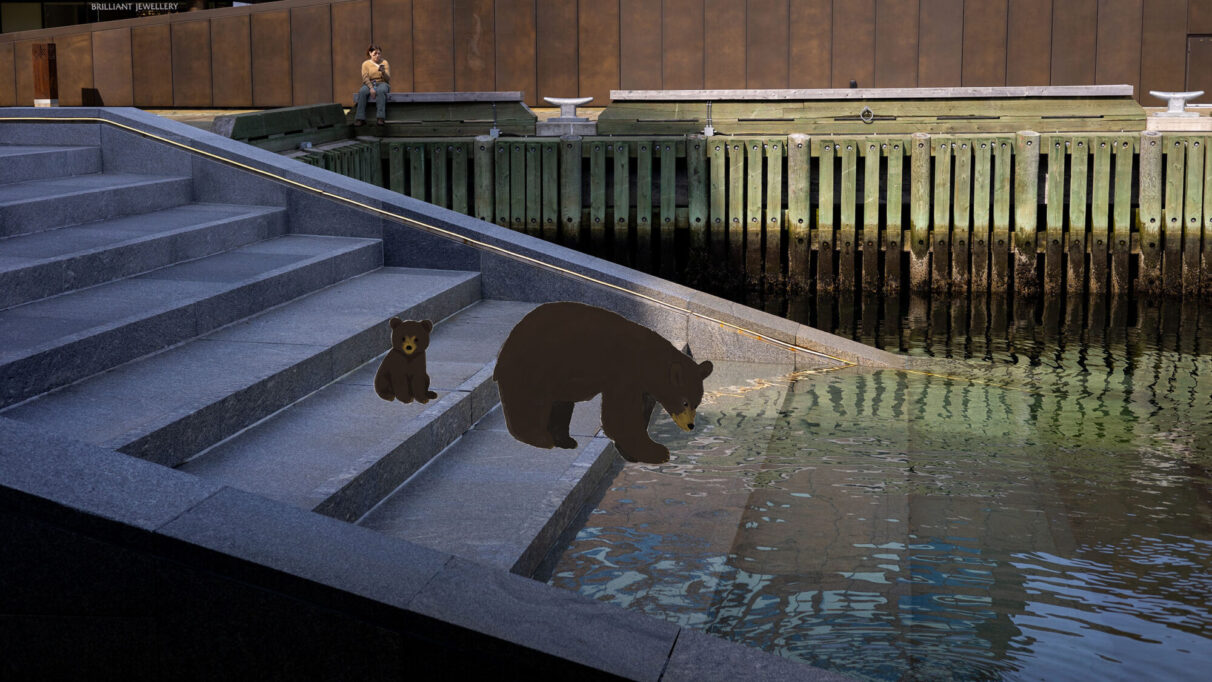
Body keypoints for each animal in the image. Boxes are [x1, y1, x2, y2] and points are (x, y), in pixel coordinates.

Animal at [496, 302, 712, 465]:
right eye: (684, 402)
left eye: (697, 402)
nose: (690, 425)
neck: (647, 361)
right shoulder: (624, 373)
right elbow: (621, 415)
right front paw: (658, 452)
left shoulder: (643, 386)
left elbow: (638, 412)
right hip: (536, 364)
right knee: (530, 401)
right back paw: (539, 438)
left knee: (560, 404)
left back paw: (565, 440)